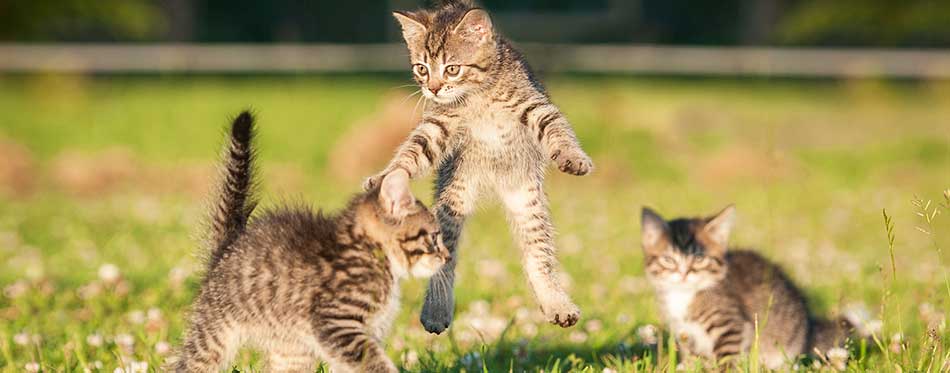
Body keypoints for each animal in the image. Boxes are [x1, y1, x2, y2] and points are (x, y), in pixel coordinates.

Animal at [175, 112, 450, 372]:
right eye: (434, 236)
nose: (446, 256)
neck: (373, 254)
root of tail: (229, 244)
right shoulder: (336, 324)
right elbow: (375, 362)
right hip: (212, 334)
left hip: (290, 350)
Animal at [366, 0, 596, 332]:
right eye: (422, 68)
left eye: (452, 68)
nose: (433, 88)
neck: (478, 94)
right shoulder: (439, 123)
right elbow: (412, 151)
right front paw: (387, 175)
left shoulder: (534, 104)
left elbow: (556, 128)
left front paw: (573, 157)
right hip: (453, 198)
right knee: (445, 260)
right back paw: (436, 310)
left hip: (526, 199)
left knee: (537, 254)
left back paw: (556, 303)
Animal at [640, 205, 856, 368]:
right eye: (668, 259)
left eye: (699, 258)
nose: (684, 273)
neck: (684, 295)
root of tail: (809, 329)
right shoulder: (685, 334)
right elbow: (693, 359)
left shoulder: (732, 326)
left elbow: (727, 360)